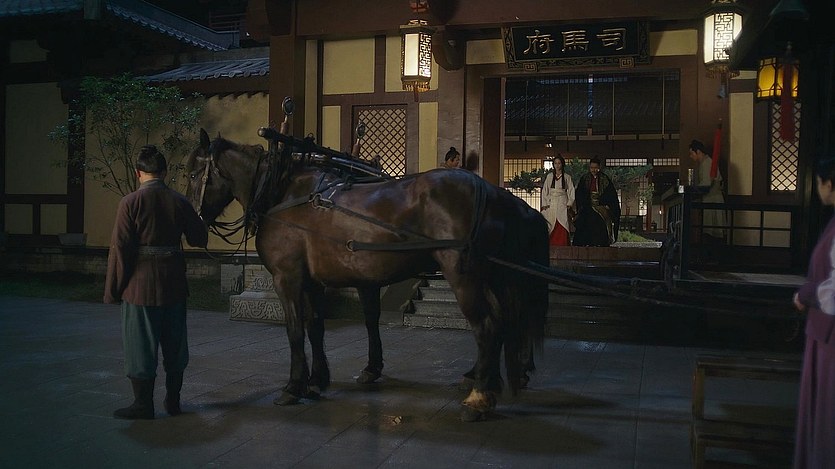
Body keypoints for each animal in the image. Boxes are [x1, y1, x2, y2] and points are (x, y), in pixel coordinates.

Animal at [187, 128, 549, 421]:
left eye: (192, 173)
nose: (193, 226)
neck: (282, 194)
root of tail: (492, 192)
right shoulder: (315, 281)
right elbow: (315, 327)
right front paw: (317, 379)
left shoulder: (287, 278)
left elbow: (294, 331)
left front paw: (293, 386)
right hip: (493, 277)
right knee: (503, 322)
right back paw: (492, 380)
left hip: (465, 275)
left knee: (487, 326)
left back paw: (478, 398)